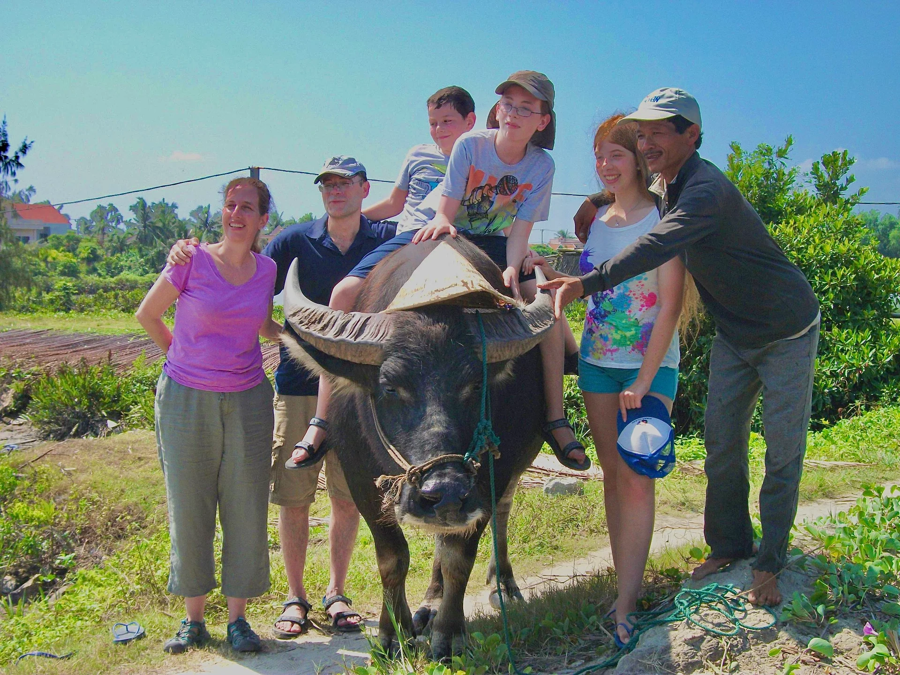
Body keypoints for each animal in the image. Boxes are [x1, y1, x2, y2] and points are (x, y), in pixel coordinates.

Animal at [282, 235, 552, 656]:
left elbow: (458, 556)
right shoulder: (360, 476)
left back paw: (502, 585)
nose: (444, 490)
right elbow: (393, 558)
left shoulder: (486, 478)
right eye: (391, 387)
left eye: (476, 385)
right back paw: (430, 602)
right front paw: (394, 633)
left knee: (500, 514)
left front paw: (450, 633)